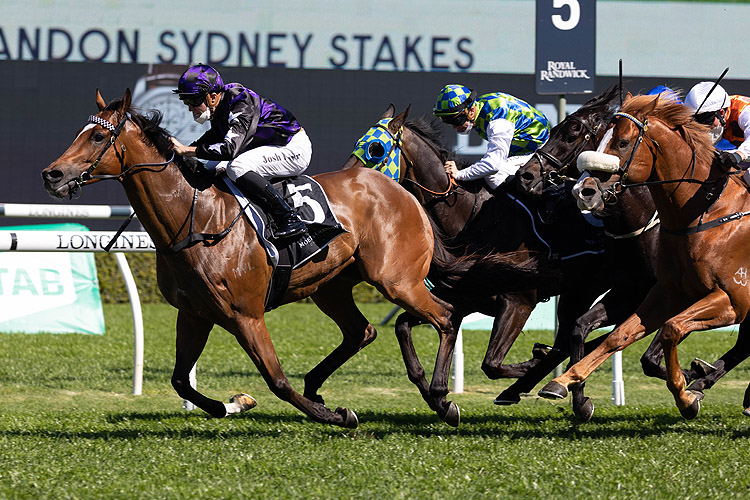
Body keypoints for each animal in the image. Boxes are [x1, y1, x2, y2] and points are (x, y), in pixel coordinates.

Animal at [41, 89, 548, 426]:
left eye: (96, 138)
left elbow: (276, 379)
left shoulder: (245, 314)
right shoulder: (195, 314)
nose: (52, 175)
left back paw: (444, 399)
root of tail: (404, 192)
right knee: (363, 331)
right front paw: (234, 403)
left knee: (443, 316)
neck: (195, 218)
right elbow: (182, 381)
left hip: (396, 279)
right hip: (331, 286)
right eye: (81, 132)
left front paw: (336, 416)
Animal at [350, 103, 612, 416]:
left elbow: (492, 364)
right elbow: (405, 325)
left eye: (375, 149)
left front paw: (534, 361)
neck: (471, 217)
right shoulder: (462, 298)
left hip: (584, 289)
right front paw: (439, 398)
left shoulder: (519, 300)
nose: (350, 182)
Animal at [544, 94, 750, 418]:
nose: (585, 191)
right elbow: (616, 335)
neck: (702, 214)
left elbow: (670, 330)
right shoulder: (664, 293)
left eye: (623, 143)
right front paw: (564, 383)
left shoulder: (732, 300)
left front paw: (686, 394)